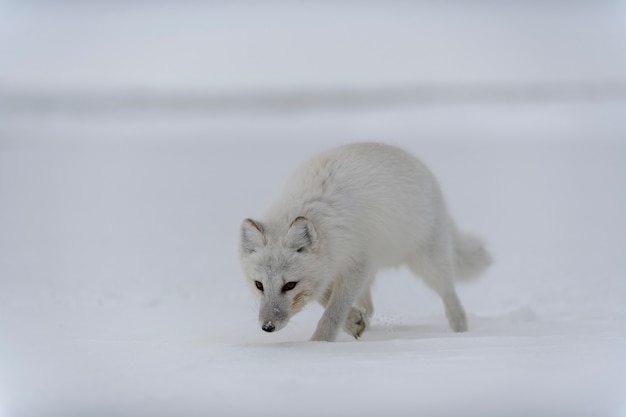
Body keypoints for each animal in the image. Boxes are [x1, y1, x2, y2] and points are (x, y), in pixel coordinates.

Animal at [236, 141, 490, 340]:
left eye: (289, 285)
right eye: (259, 285)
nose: (268, 327)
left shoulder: (357, 264)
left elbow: (333, 312)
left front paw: (318, 345)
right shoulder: (336, 268)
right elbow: (326, 299)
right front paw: (353, 322)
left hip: (429, 264)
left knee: (451, 298)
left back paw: (461, 334)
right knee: (370, 306)